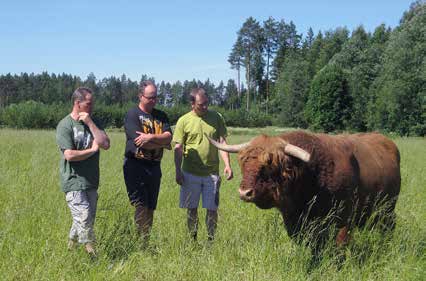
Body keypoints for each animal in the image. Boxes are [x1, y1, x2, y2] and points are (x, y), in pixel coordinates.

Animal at [208, 130, 402, 246]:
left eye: (269, 167)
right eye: (244, 164)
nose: (244, 192)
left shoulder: (343, 218)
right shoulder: (296, 222)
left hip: (388, 207)